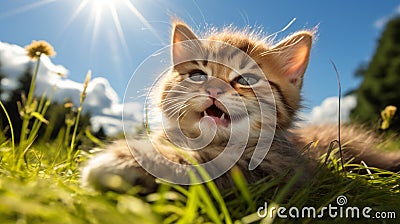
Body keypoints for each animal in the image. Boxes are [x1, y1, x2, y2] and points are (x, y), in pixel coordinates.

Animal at [81, 21, 400, 192]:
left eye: (246, 79)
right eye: (198, 75)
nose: (214, 88)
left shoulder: (274, 171)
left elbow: (201, 163)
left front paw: (129, 161)